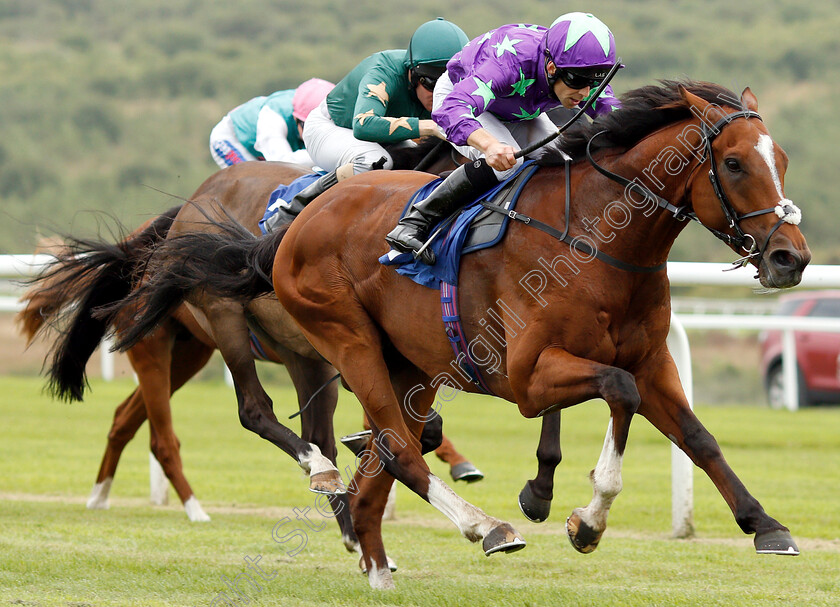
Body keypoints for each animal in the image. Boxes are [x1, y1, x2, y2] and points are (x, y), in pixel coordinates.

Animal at [115, 78, 812, 588]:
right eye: (734, 163)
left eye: (780, 159)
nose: (791, 258)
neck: (597, 239)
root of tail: (293, 224)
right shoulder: (530, 376)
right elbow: (618, 393)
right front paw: (584, 519)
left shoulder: (651, 360)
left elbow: (696, 435)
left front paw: (765, 525)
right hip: (336, 339)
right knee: (386, 444)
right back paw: (481, 526)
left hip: (403, 363)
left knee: (383, 451)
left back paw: (375, 559)